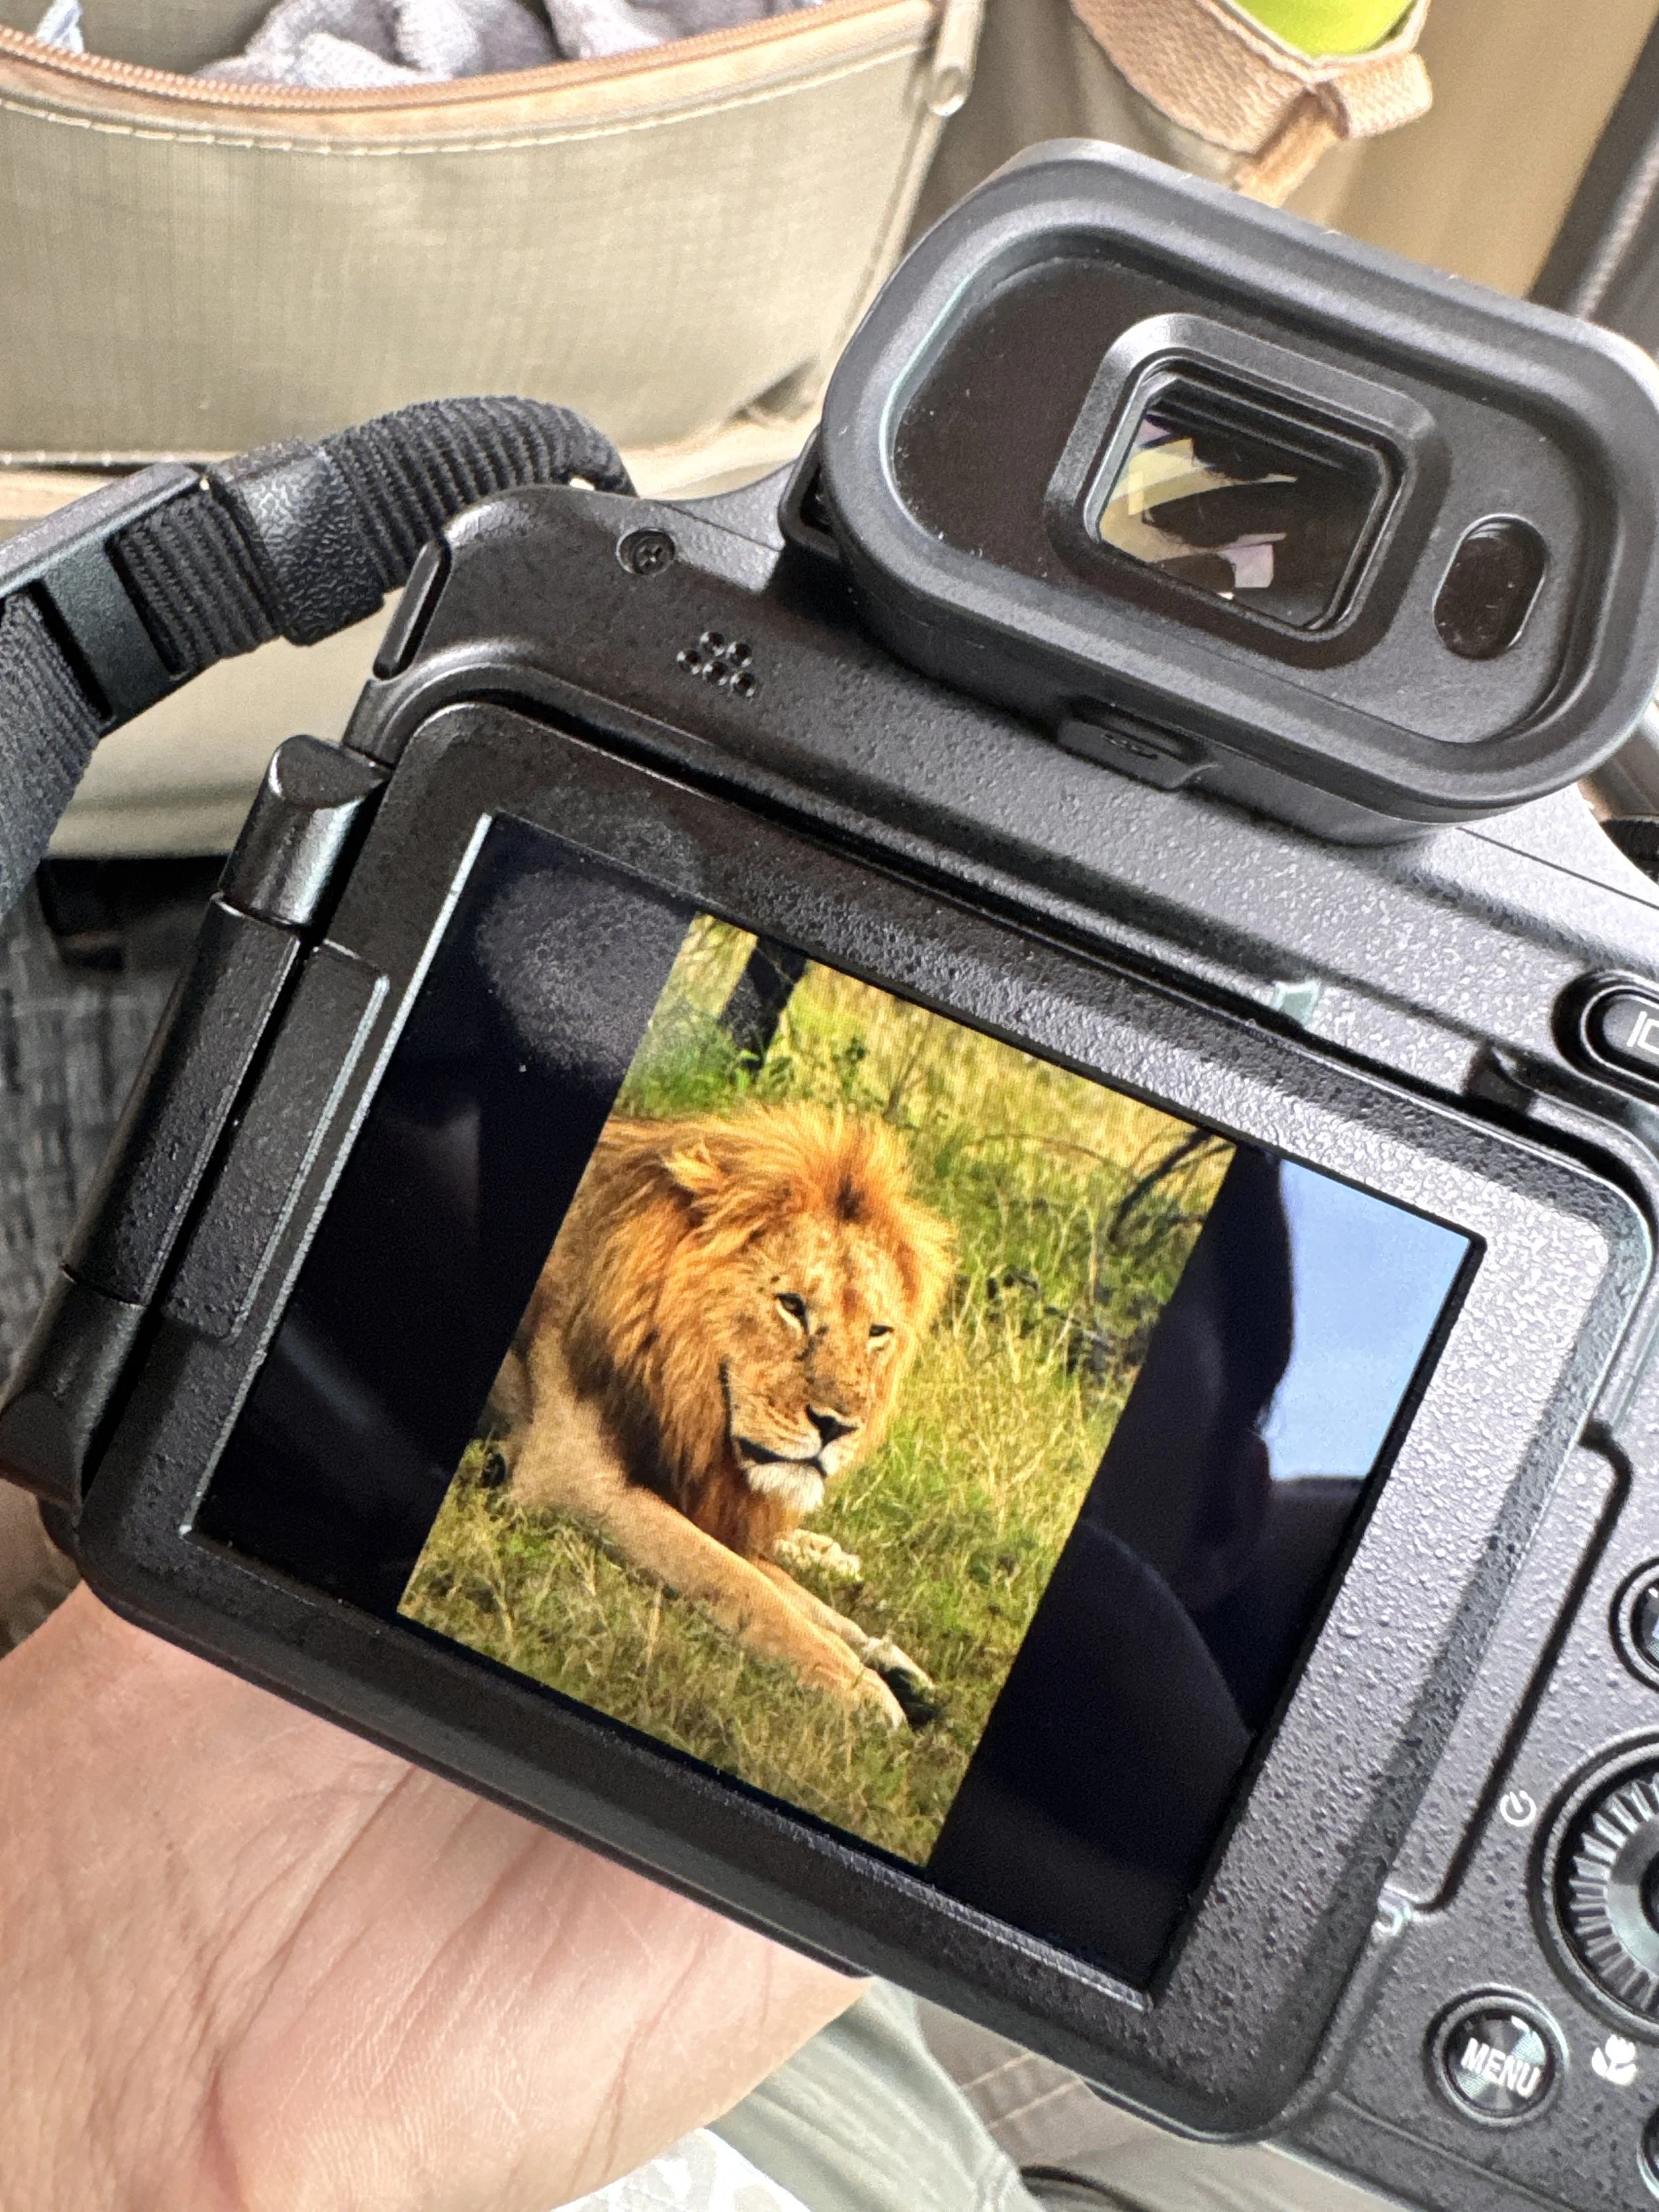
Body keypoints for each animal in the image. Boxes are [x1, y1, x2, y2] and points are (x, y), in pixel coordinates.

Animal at [489, 1103, 954, 1727]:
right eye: (792, 1305)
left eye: (878, 1332)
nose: (839, 1427)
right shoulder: (570, 1476)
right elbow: (739, 1580)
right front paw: (862, 1688)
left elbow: (776, 1582)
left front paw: (888, 1664)